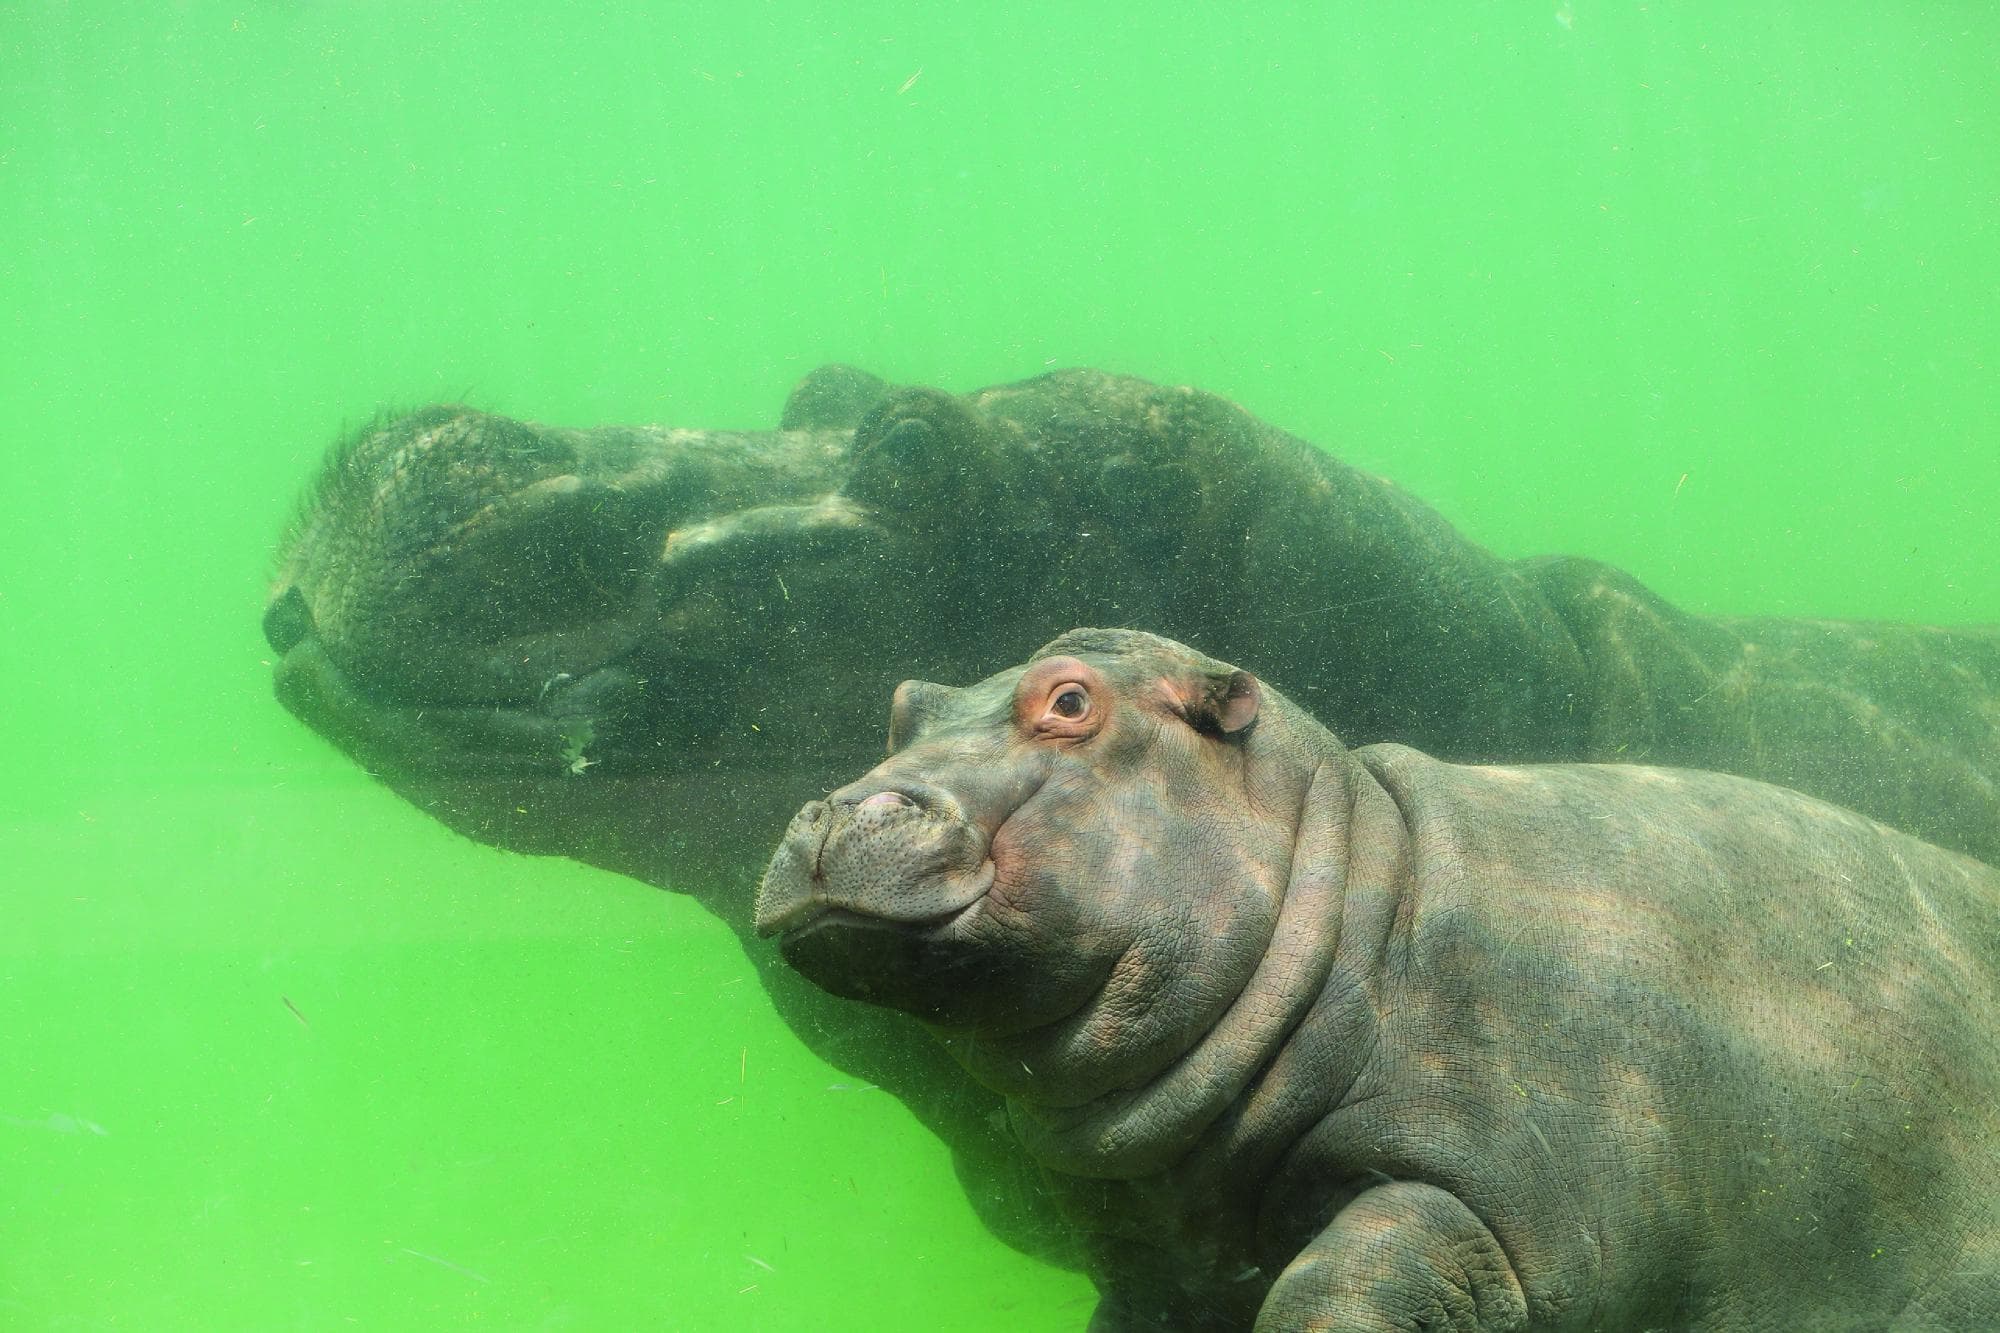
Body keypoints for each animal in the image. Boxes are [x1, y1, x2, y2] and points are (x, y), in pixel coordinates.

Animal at [757, 629, 2000, 1331]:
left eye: (1069, 700)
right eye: (904, 703)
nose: (837, 810)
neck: (1354, 896)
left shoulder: (1483, 1207)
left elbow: (1335, 1291)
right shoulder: (1161, 1268)